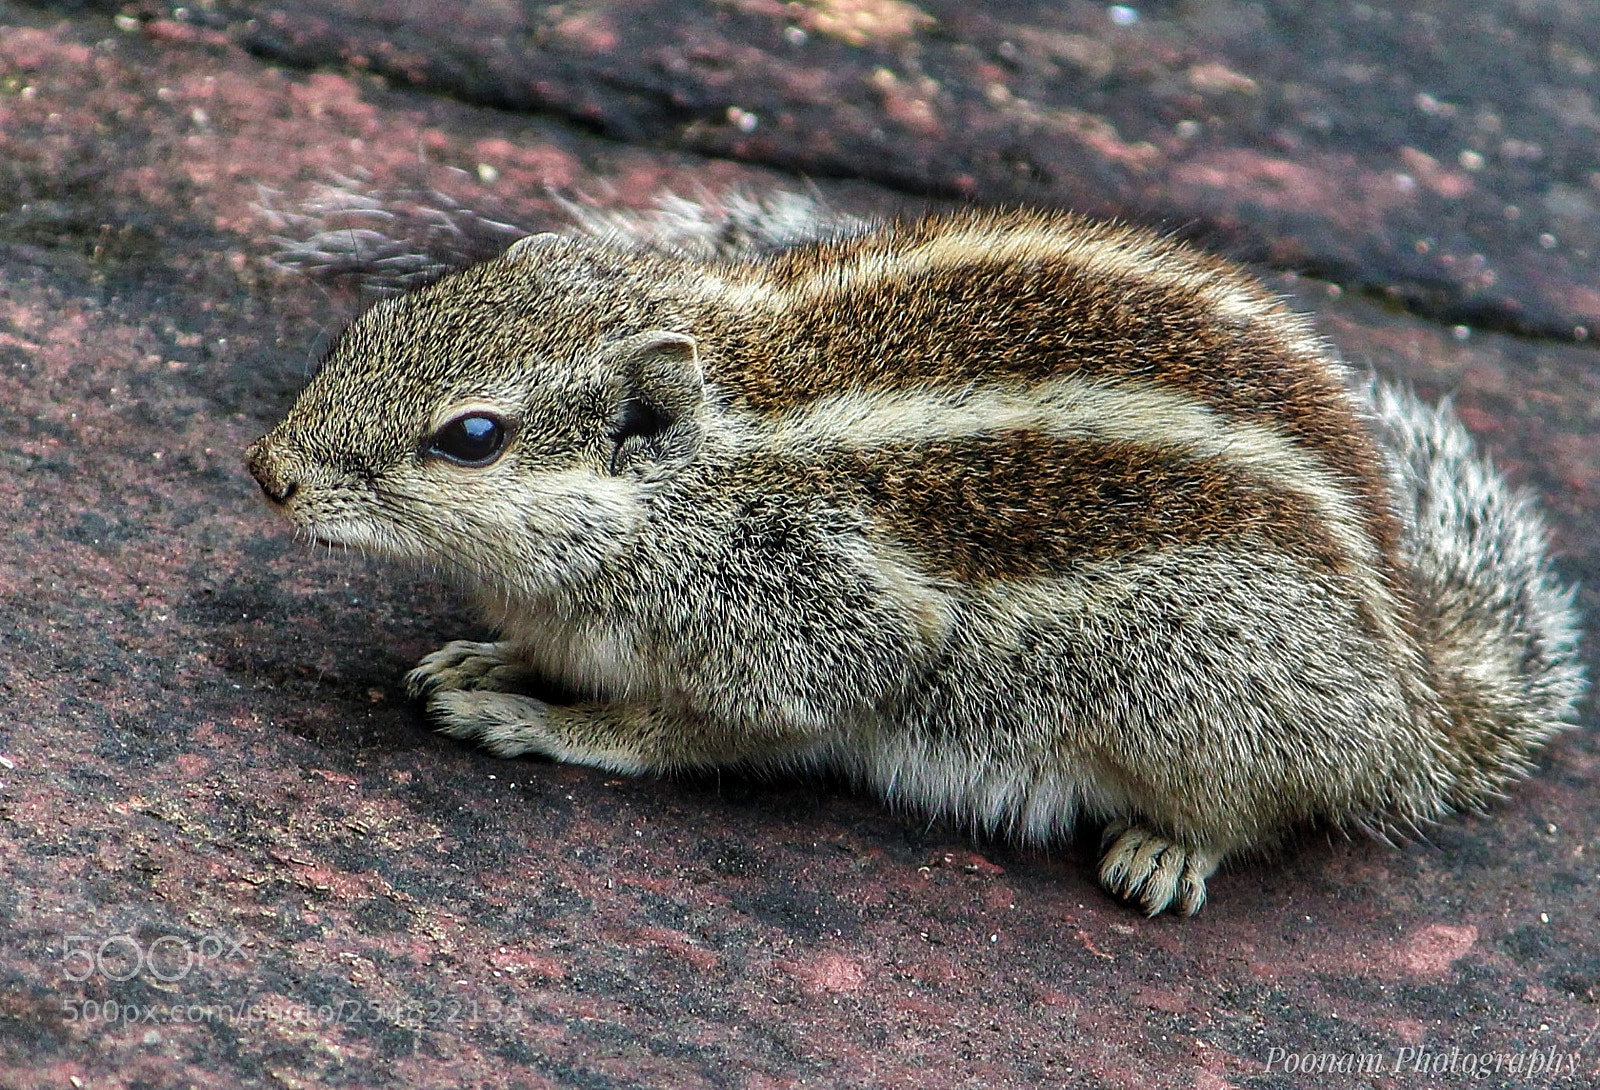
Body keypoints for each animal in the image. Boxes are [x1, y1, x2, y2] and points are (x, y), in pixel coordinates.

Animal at [246, 190, 1586, 915]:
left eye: (470, 437)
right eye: (376, 318)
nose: (267, 470)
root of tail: (1418, 692)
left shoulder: (816, 628)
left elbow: (682, 733)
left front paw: (536, 718)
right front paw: (485, 659)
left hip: (1187, 676)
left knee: (1266, 804)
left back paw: (1169, 847)